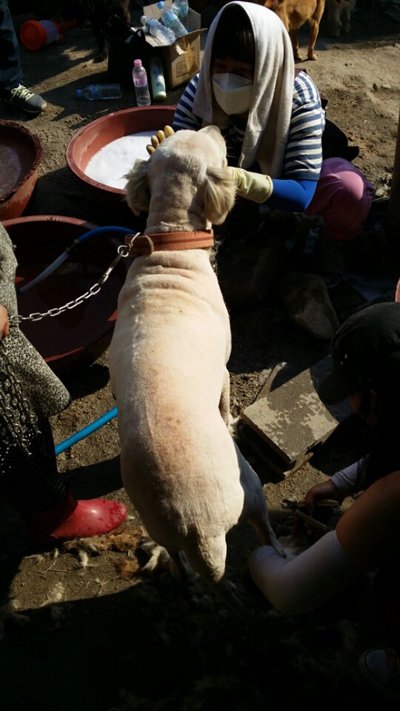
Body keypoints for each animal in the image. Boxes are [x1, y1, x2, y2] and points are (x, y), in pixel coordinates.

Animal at [108, 126, 283, 610]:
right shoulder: (223, 369)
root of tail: (197, 527)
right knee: (263, 528)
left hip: (159, 524)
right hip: (250, 486)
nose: (216, 128)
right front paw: (229, 420)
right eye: (219, 151)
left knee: (179, 557)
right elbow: (224, 400)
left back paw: (186, 579)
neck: (171, 242)